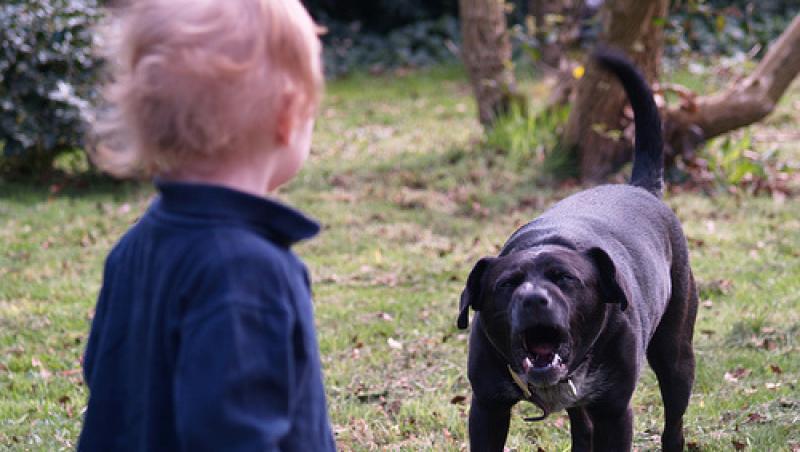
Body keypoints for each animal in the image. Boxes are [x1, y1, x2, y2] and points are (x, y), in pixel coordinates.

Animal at [460, 50, 696, 452]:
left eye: (565, 279)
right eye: (506, 284)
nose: (533, 299)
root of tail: (641, 188)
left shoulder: (614, 412)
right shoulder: (487, 408)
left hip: (676, 357)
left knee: (674, 426)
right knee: (581, 429)